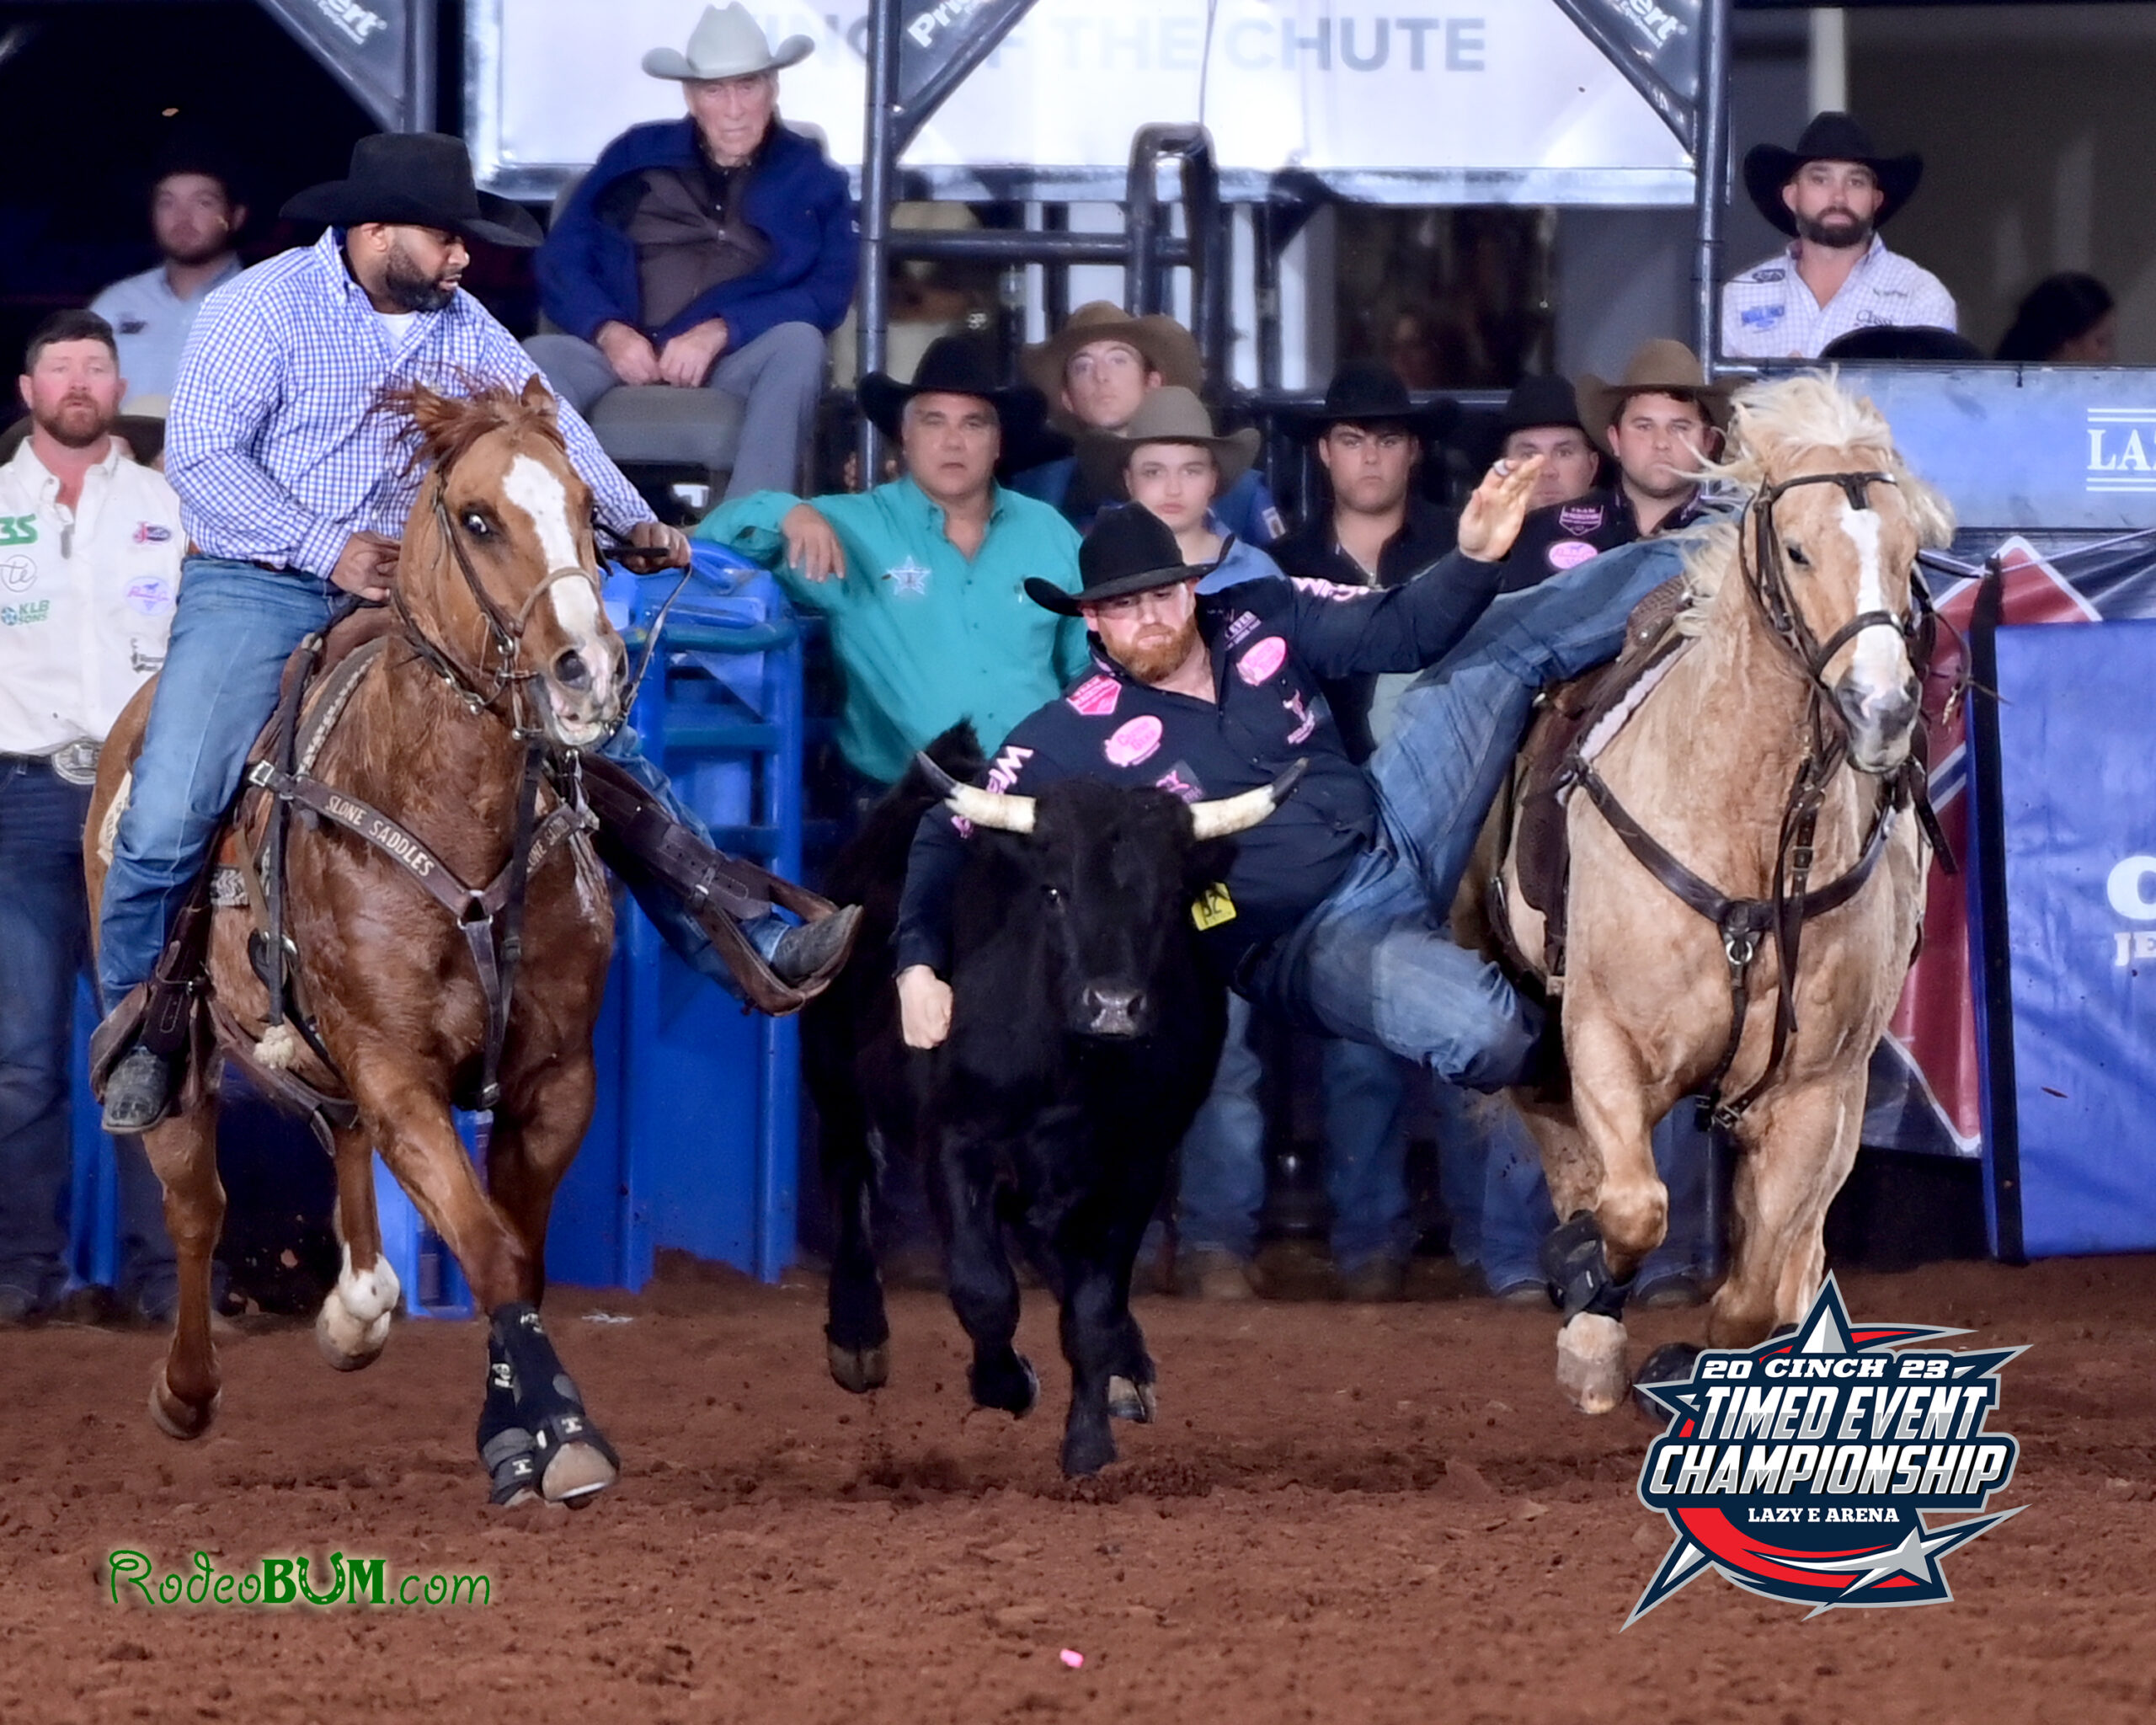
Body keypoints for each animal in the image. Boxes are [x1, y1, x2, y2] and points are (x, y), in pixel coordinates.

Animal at [93, 372, 629, 1492]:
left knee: (340, 1142)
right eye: (478, 517)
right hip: (183, 1049)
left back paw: (357, 1308)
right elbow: (487, 1245)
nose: (587, 670)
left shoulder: (556, 1076)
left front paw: (517, 1424)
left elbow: (516, 1253)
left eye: (583, 506)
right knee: (197, 1203)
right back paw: (187, 1388)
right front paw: (556, 1438)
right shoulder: (396, 1066)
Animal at [1483, 377, 1957, 1414]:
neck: (1740, 831)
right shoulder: (1601, 1037)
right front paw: (1586, 1298)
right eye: (1799, 549)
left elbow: (1752, 1289)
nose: (1884, 710)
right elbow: (1630, 1208)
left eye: (1909, 554)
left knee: (1795, 1249)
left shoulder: (1815, 1089)